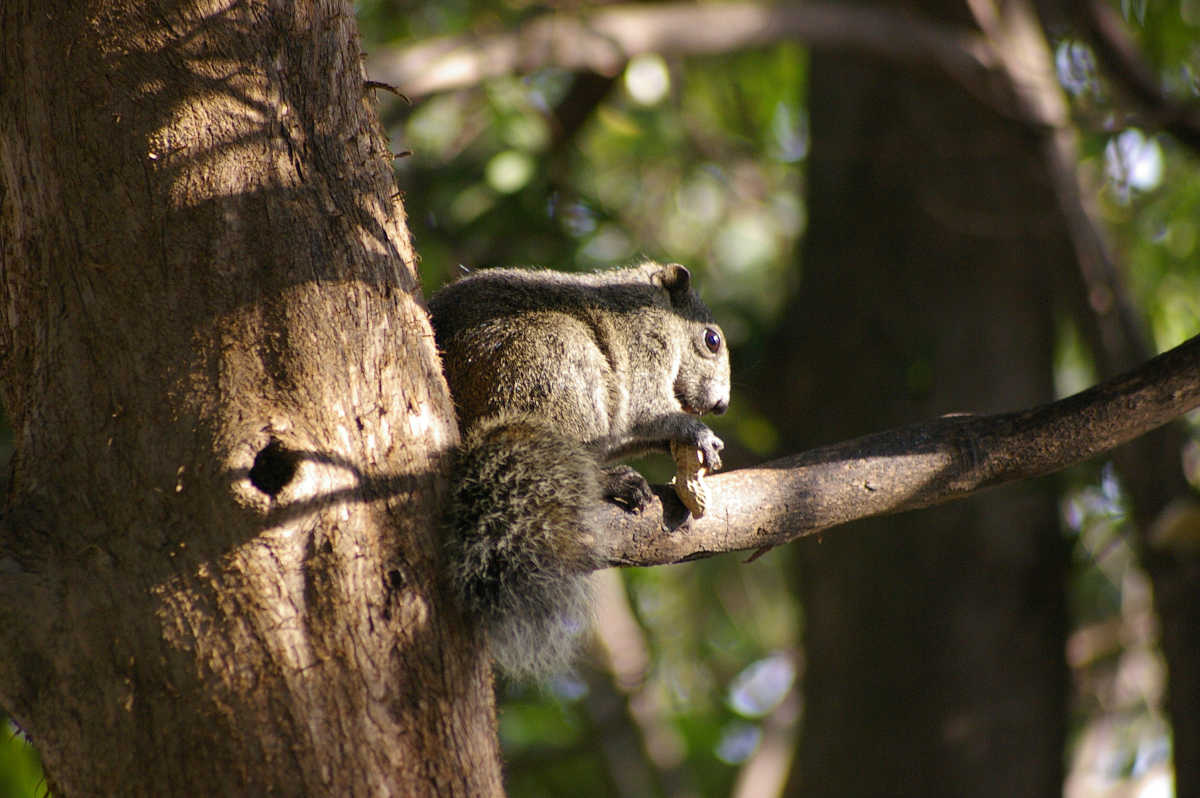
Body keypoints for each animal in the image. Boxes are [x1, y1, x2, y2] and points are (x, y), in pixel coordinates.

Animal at [432, 261, 729, 676]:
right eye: (711, 340)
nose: (721, 405)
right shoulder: (644, 341)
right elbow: (646, 410)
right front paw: (697, 432)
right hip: (547, 357)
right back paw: (612, 480)